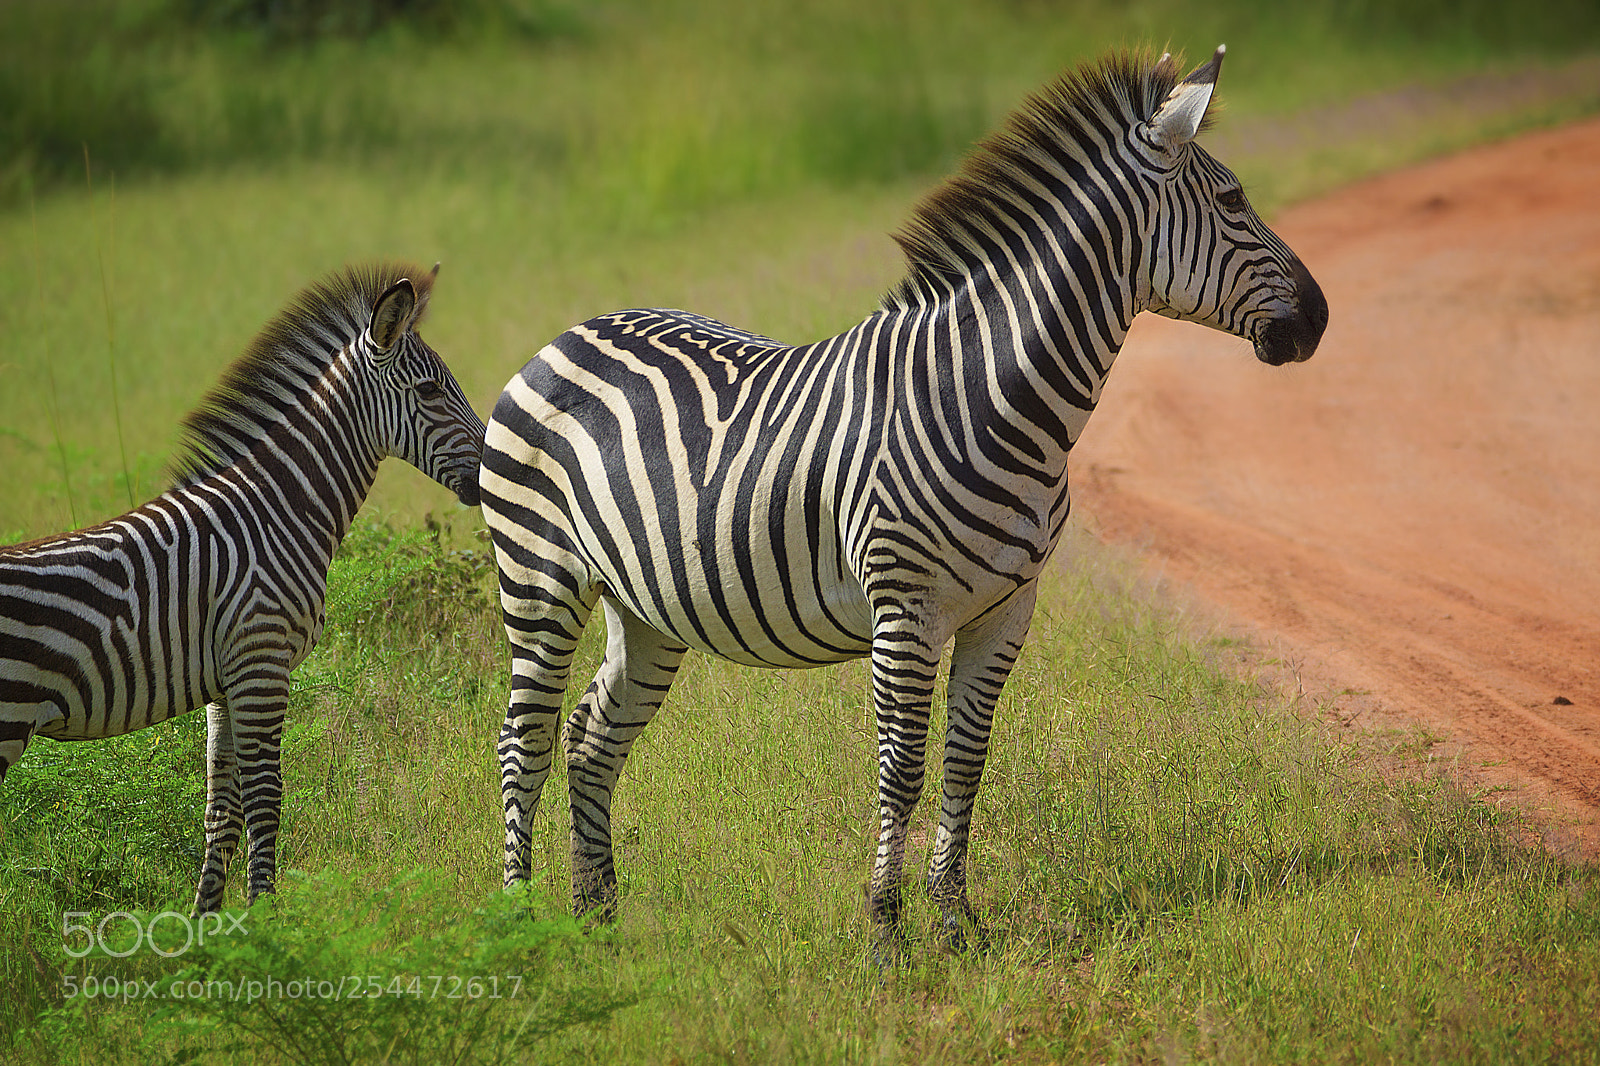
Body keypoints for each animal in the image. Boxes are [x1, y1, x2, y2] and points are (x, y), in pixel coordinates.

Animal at [0, 262, 485, 914]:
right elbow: (264, 800)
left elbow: (221, 810)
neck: (276, 509)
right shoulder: (261, 660)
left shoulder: (225, 679)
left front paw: (210, 925)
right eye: (432, 391)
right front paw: (267, 917)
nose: (487, 476)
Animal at [479, 46, 1327, 949]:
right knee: (524, 740)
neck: (991, 398)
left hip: (643, 608)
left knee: (591, 739)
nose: (1319, 318)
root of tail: (568, 333)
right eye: (1232, 200)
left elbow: (966, 759)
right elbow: (902, 768)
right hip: (538, 578)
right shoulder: (905, 611)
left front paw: (955, 920)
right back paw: (519, 920)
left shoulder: (1007, 609)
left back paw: (597, 919)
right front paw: (886, 930)